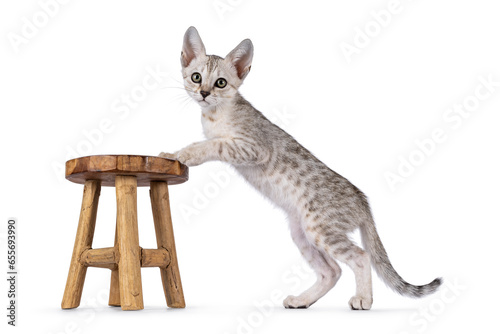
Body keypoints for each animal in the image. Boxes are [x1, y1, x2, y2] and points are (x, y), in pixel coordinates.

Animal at [160, 26, 442, 310]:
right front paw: (174, 153)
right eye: (196, 77)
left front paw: (180, 154)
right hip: (302, 232)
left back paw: (363, 299)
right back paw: (302, 301)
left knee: (361, 257)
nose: (204, 93)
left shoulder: (254, 147)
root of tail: (363, 201)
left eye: (221, 82)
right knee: (332, 271)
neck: (215, 115)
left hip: (320, 228)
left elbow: (211, 145)